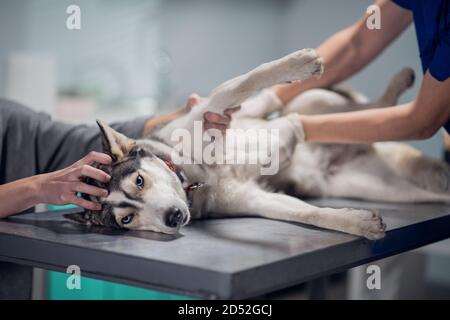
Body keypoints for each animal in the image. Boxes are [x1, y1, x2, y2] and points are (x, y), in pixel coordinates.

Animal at [65, 49, 450, 240]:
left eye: (140, 180)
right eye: (127, 218)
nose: (173, 218)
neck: (194, 179)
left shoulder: (210, 110)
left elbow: (240, 85)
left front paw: (298, 63)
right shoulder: (255, 199)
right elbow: (306, 213)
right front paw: (357, 224)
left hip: (315, 102)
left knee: (370, 107)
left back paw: (399, 81)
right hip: (381, 188)